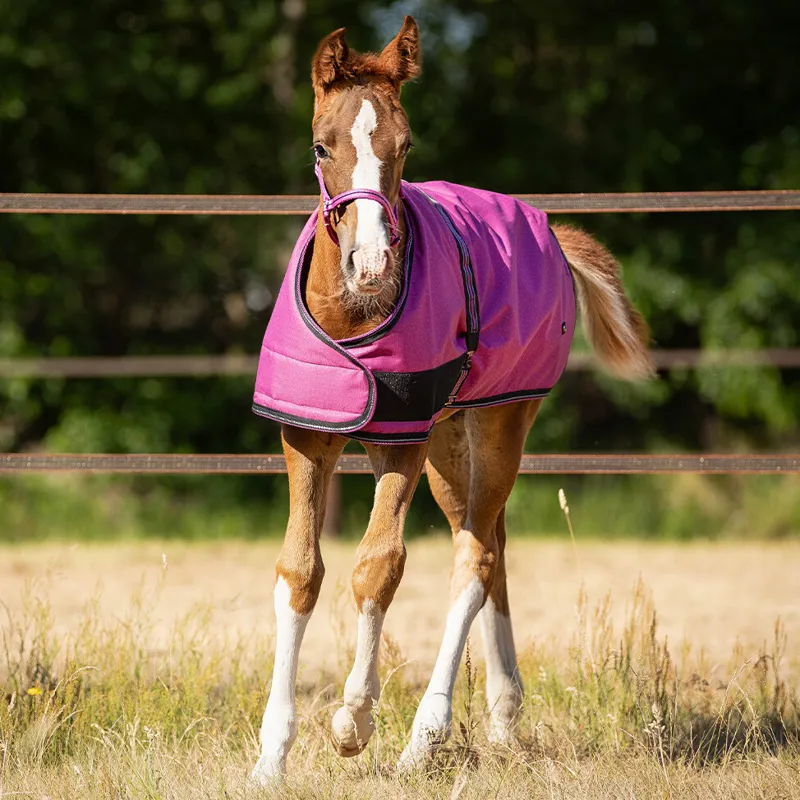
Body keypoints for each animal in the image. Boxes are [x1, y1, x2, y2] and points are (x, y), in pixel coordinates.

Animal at [249, 15, 653, 783]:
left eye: (405, 146)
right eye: (321, 146)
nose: (371, 266)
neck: (353, 319)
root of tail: (548, 230)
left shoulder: (401, 437)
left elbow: (378, 565)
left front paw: (353, 721)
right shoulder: (309, 436)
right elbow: (299, 571)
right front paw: (270, 758)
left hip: (499, 421)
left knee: (474, 560)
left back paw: (423, 736)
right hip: (449, 438)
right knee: (489, 536)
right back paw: (502, 714)